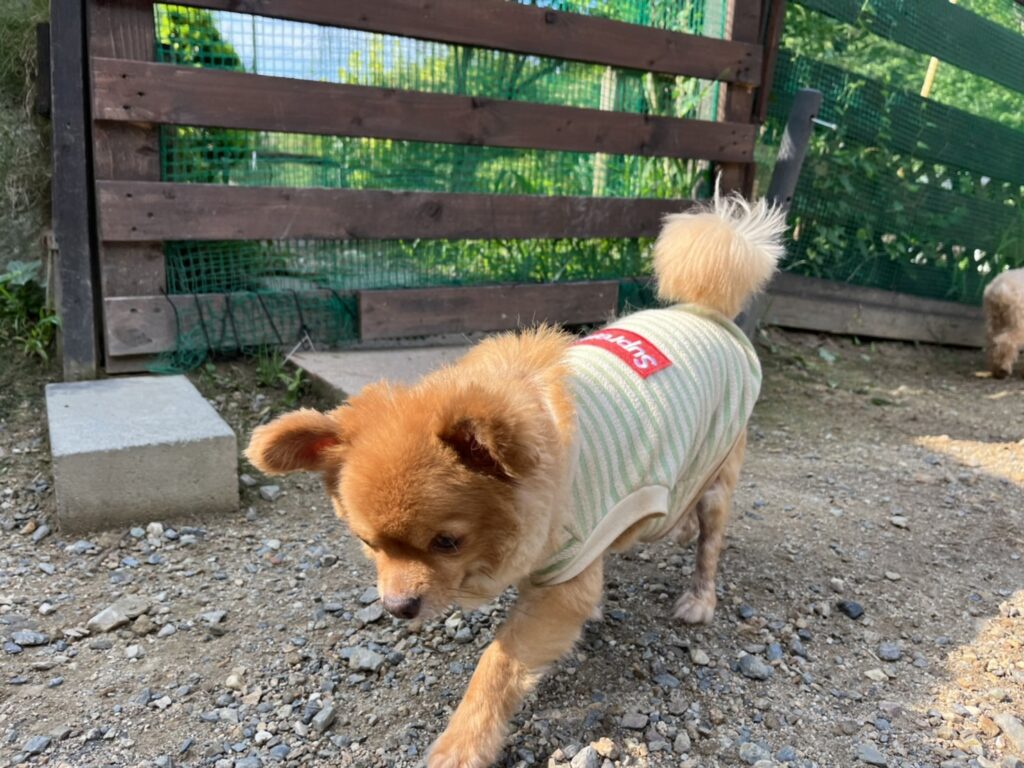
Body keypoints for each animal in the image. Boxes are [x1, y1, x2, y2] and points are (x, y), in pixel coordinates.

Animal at [245, 194, 787, 768]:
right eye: (368, 544)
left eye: (447, 542)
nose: (397, 608)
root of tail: (706, 309)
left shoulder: (564, 576)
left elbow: (498, 665)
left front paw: (463, 744)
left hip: (720, 469)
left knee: (710, 540)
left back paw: (699, 598)